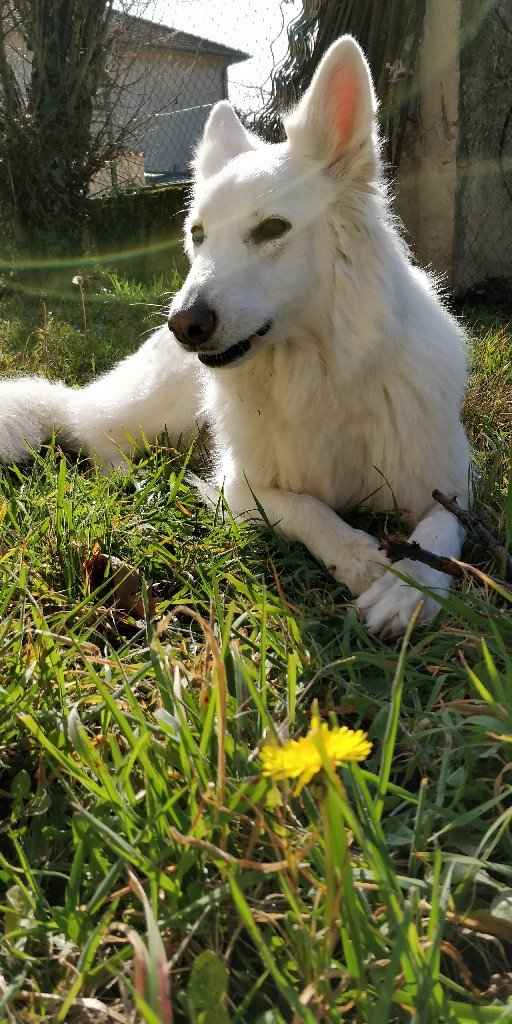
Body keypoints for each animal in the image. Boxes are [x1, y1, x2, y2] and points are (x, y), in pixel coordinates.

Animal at [0, 37, 468, 630]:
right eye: (198, 234)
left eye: (272, 229)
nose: (184, 325)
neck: (317, 372)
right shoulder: (241, 487)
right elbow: (307, 508)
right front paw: (361, 556)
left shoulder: (450, 478)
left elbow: (443, 528)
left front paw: (410, 585)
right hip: (161, 410)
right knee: (85, 424)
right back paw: (129, 475)